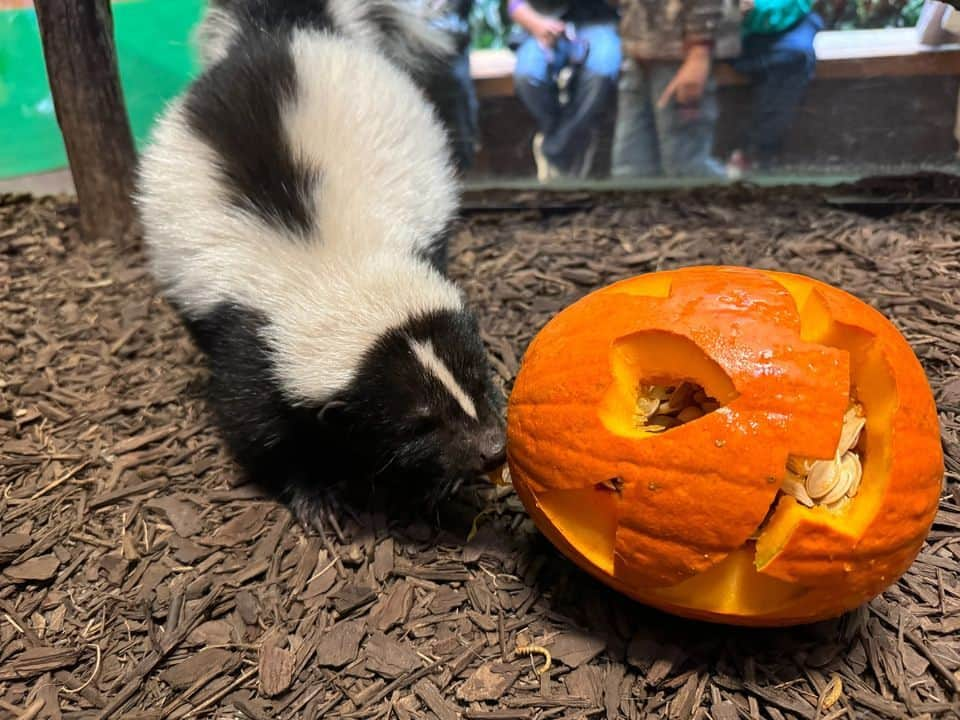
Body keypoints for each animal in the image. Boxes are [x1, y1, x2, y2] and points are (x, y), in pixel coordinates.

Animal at [139, 0, 510, 516]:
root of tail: (278, 31)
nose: (492, 448)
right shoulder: (248, 335)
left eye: (478, 375)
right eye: (418, 424)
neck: (331, 262)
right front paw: (313, 495)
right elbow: (255, 424)